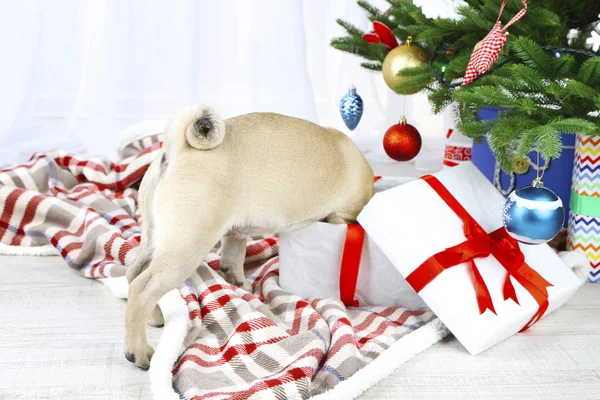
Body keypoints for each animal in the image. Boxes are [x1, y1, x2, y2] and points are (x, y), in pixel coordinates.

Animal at [123, 105, 372, 368]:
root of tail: (179, 148)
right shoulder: (344, 212)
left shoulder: (235, 234)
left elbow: (232, 259)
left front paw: (239, 281)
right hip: (186, 247)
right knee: (143, 287)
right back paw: (138, 351)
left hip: (153, 237)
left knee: (134, 273)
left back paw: (154, 317)